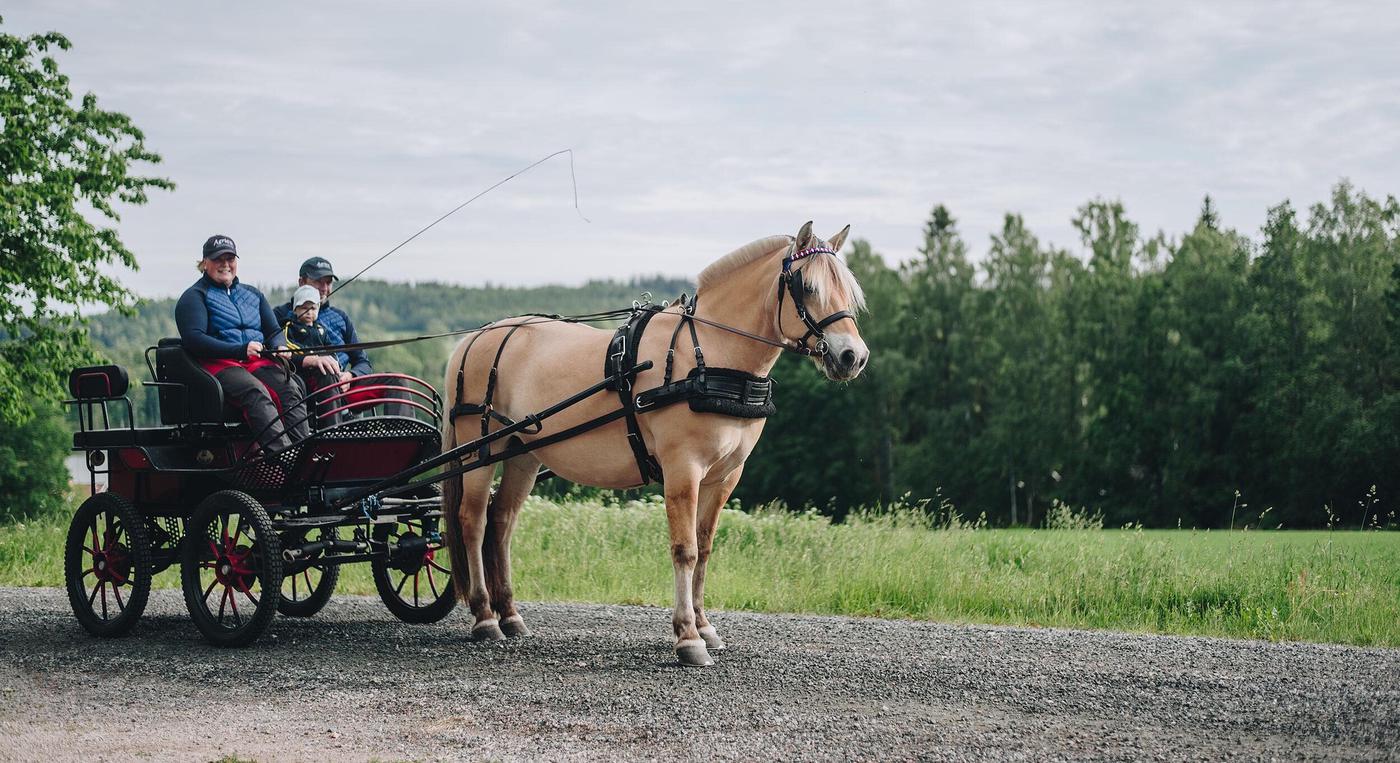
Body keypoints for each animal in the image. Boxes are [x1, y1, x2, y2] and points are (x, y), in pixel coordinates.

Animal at [442, 221, 868, 666]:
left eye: (848, 289)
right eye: (807, 286)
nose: (853, 356)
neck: (708, 355)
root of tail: (478, 337)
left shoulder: (725, 477)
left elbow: (705, 548)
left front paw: (705, 626)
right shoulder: (683, 468)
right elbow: (686, 549)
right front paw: (688, 638)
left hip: (522, 452)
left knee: (502, 522)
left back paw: (510, 615)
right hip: (478, 446)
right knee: (473, 520)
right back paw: (484, 617)